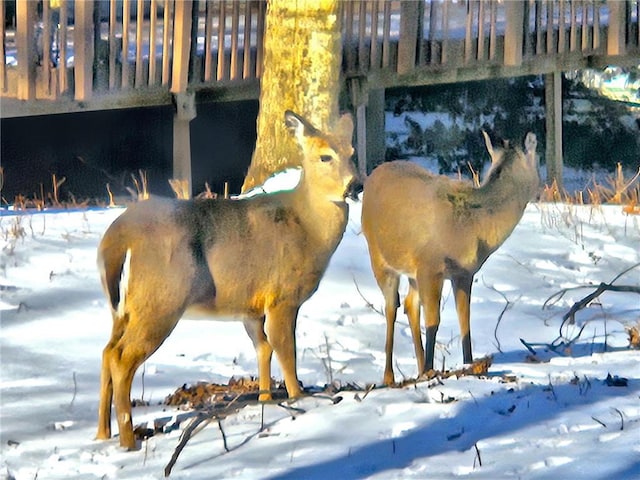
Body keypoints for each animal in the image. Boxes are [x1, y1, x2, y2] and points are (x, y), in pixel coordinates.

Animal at [95, 109, 358, 450]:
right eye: (325, 156)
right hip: (161, 301)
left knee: (106, 351)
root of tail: (117, 237)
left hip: (122, 309)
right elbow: (286, 350)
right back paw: (128, 440)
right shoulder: (283, 296)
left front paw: (265, 400)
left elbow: (263, 348)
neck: (307, 228)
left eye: (352, 152)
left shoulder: (251, 307)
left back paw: (102, 433)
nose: (356, 185)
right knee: (121, 358)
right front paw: (299, 398)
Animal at [362, 129, 536, 384]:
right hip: (378, 255)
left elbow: (465, 321)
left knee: (410, 304)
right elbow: (433, 321)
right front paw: (433, 370)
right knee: (391, 307)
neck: (472, 228)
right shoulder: (430, 266)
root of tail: (375, 172)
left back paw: (420, 367)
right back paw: (390, 376)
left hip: (412, 271)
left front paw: (469, 365)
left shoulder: (463, 272)